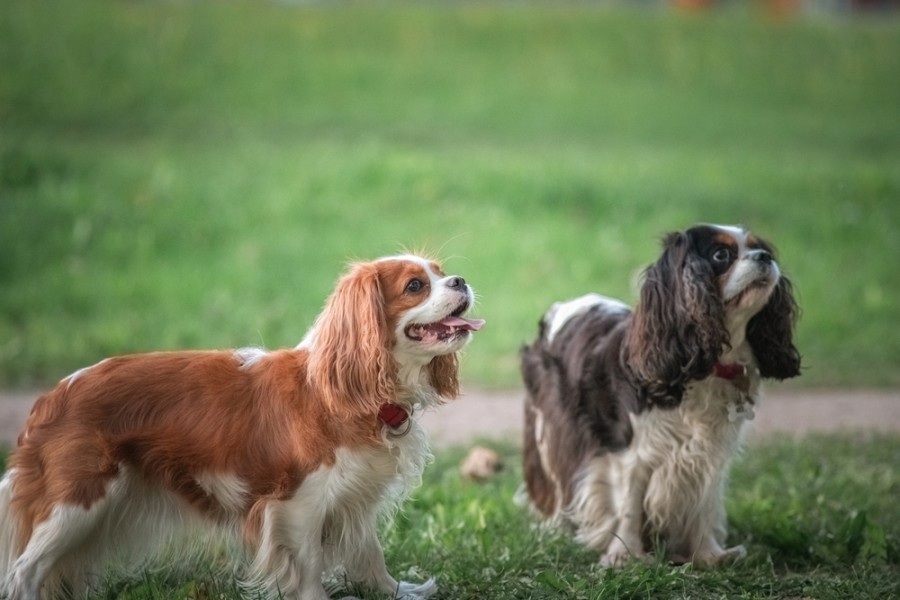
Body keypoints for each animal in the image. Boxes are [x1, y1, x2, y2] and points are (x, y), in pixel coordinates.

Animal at [0, 254, 486, 600]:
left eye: (442, 273)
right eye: (415, 286)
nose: (461, 280)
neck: (352, 392)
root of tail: (53, 396)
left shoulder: (353, 497)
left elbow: (369, 554)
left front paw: (396, 592)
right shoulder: (297, 503)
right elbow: (308, 562)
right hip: (76, 501)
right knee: (23, 572)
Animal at [520, 225, 800, 568]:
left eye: (760, 248)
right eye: (721, 255)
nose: (765, 257)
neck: (708, 365)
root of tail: (562, 307)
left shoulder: (708, 452)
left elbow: (703, 502)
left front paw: (709, 555)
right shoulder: (629, 452)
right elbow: (628, 507)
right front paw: (624, 556)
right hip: (552, 429)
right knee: (555, 482)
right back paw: (555, 529)